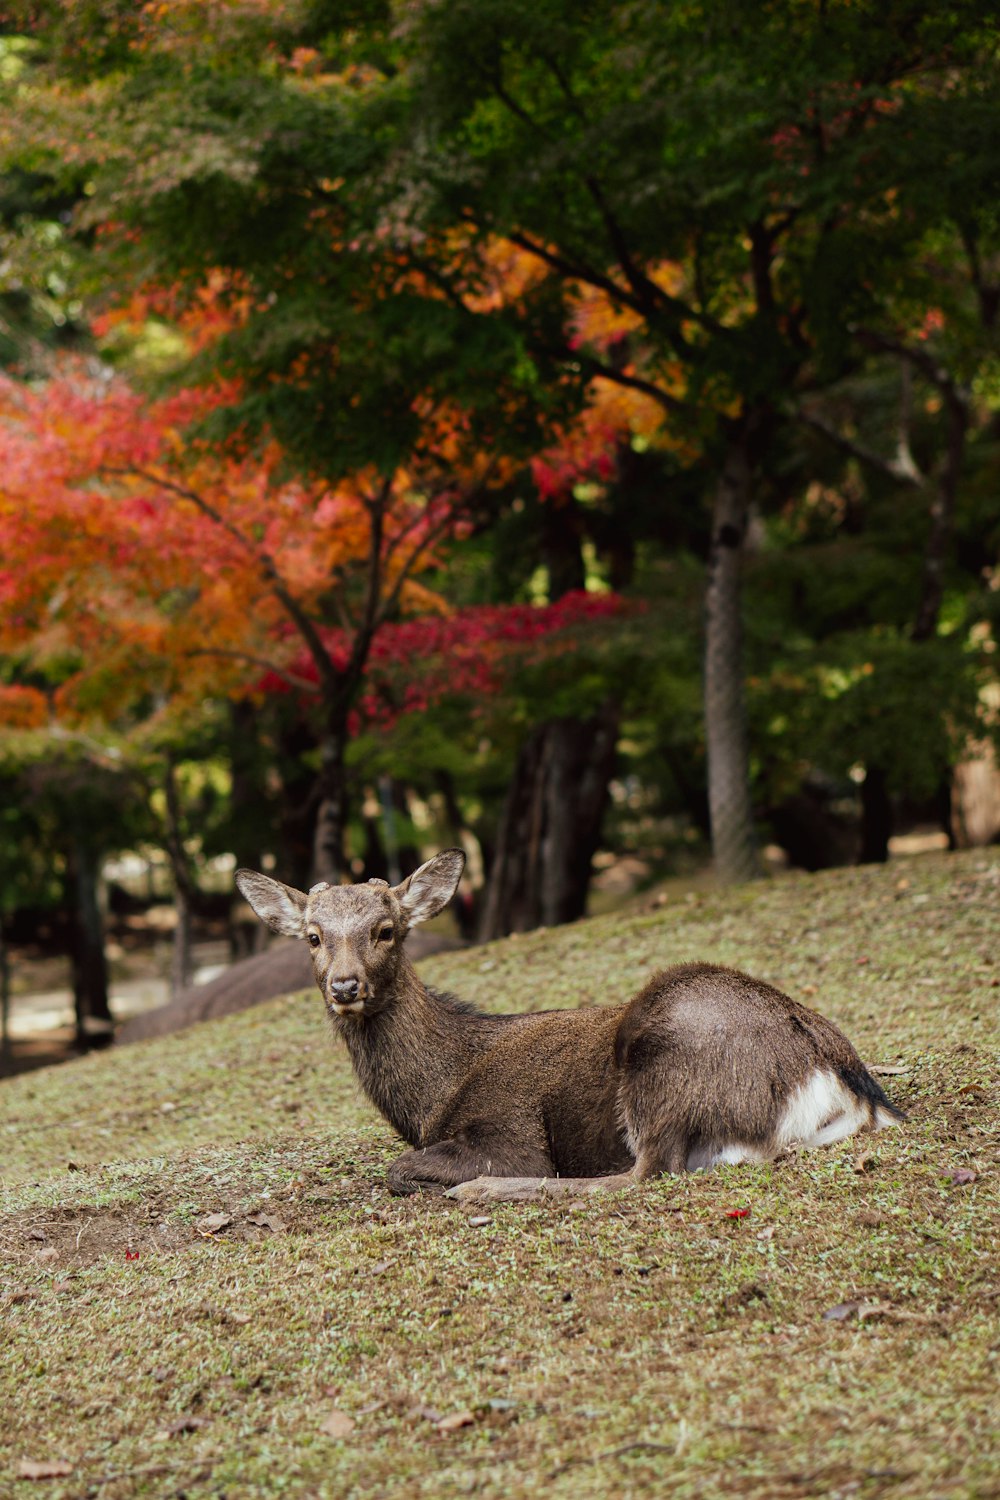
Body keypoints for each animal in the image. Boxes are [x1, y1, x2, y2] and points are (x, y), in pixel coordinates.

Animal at [236, 852, 905, 1200]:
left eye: (385, 930)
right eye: (313, 937)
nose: (345, 986)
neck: (432, 1096)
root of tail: (840, 1082)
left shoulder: (511, 1133)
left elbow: (401, 1169)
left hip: (667, 1050)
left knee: (639, 1175)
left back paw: (479, 1193)